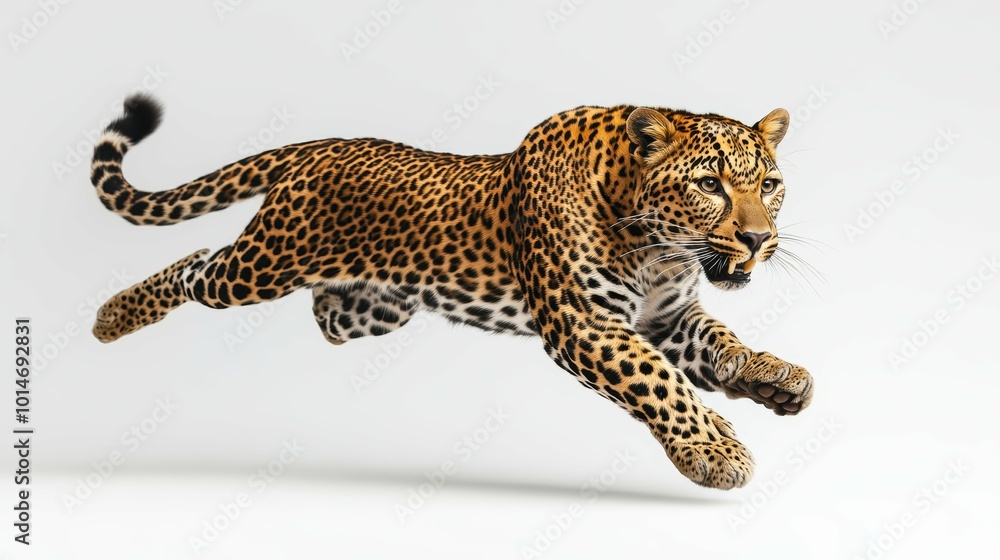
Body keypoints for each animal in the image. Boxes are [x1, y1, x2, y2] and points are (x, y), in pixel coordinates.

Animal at [87, 94, 815, 490]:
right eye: (710, 184)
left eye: (770, 184)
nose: (759, 239)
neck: (660, 250)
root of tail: (323, 145)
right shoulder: (583, 322)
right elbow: (658, 380)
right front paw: (713, 451)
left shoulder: (668, 316)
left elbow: (719, 345)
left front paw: (772, 378)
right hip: (263, 265)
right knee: (197, 265)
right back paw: (110, 317)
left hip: (374, 307)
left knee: (321, 312)